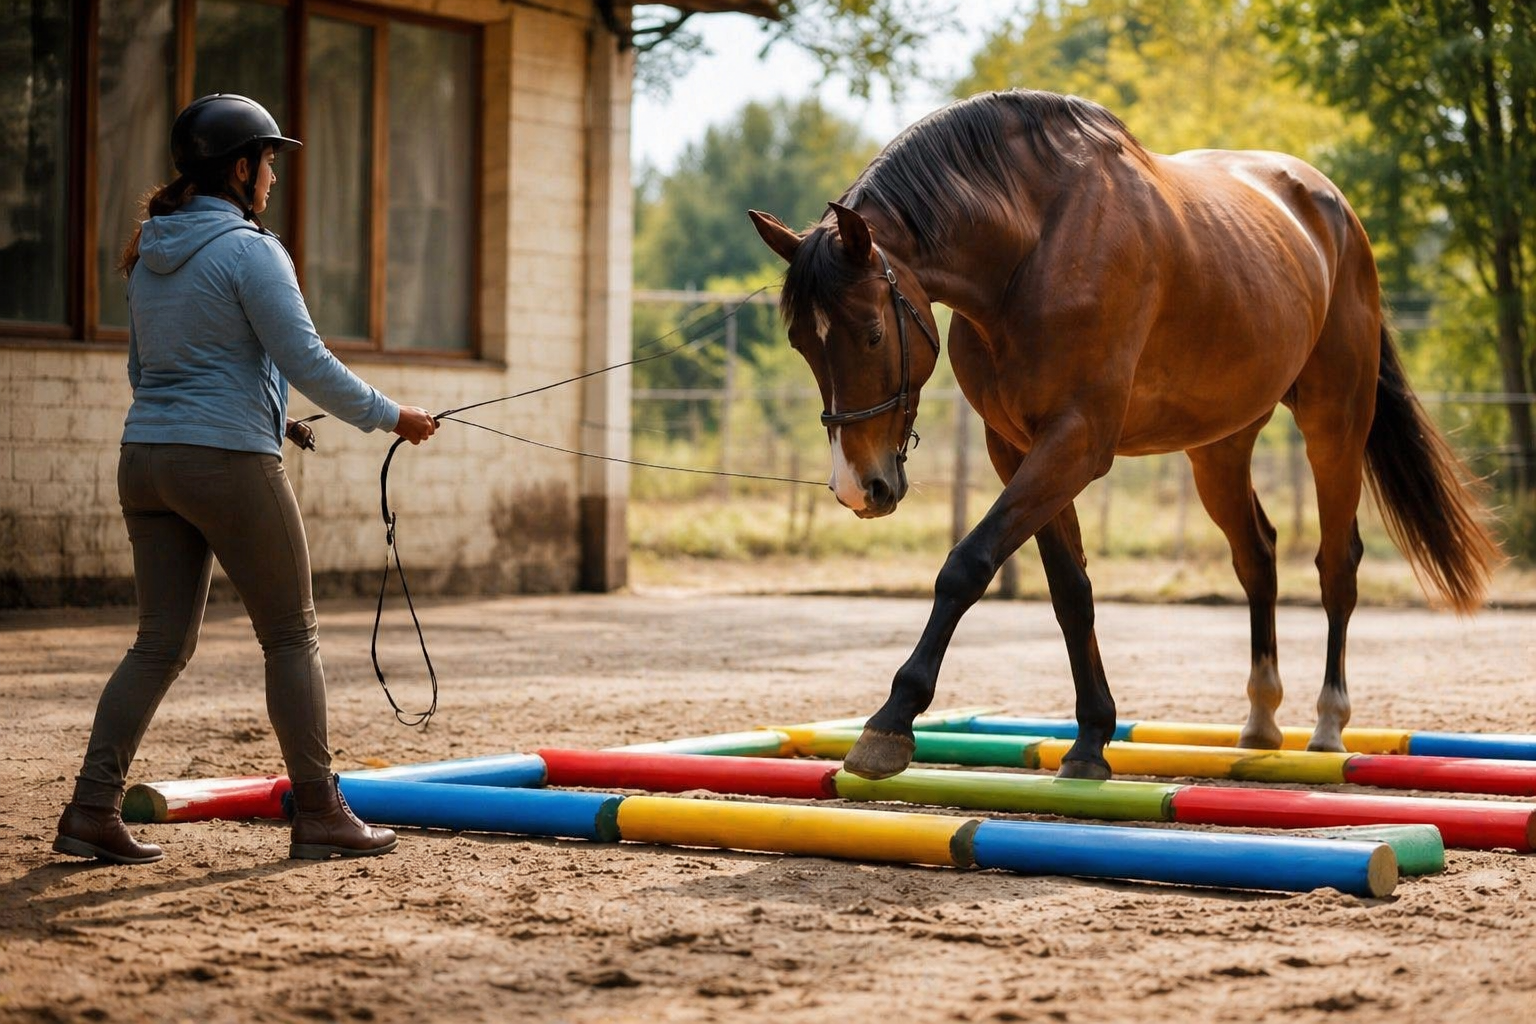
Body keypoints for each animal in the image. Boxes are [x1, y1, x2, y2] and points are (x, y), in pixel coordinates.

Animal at [748, 89, 1501, 781]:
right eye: (801, 344)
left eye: (873, 333)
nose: (859, 487)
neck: (1033, 247)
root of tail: (1332, 207)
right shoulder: (1017, 449)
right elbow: (1069, 591)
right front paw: (1090, 740)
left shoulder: (1076, 441)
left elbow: (967, 564)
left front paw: (890, 721)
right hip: (1218, 446)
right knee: (1257, 556)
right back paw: (1260, 721)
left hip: (1334, 423)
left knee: (1336, 565)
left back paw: (1326, 725)